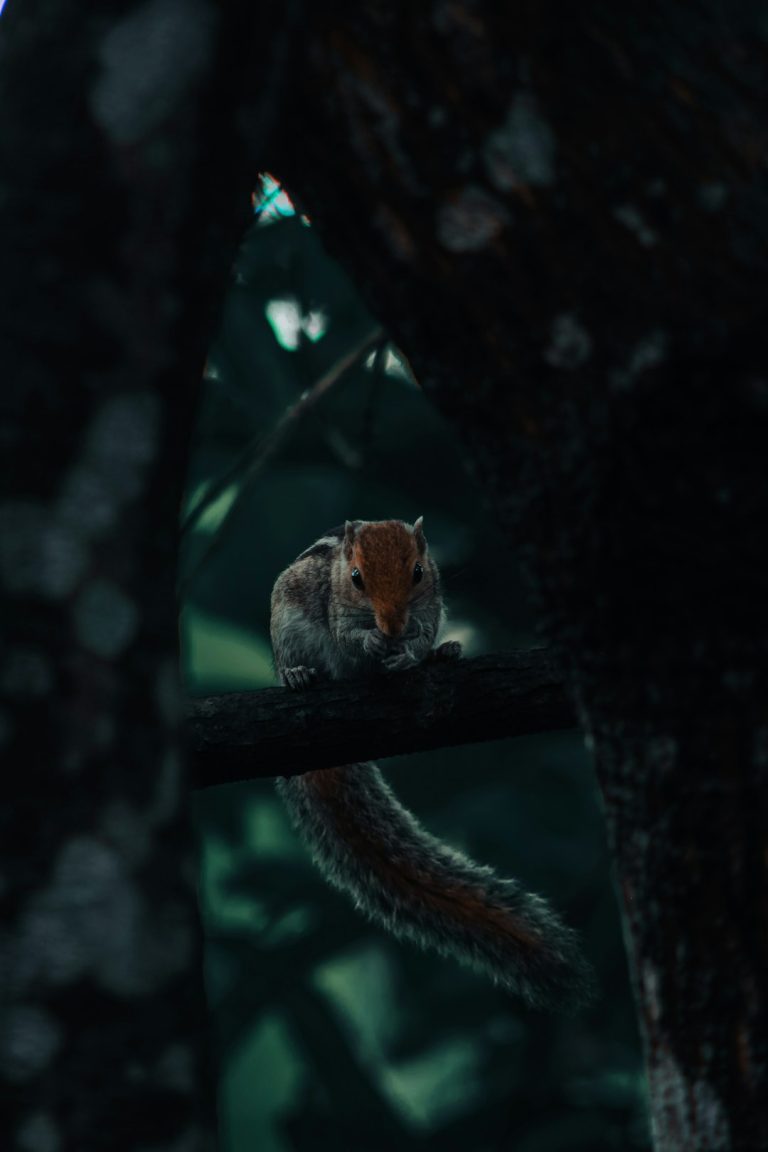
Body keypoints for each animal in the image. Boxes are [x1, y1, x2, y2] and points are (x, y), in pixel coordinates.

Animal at [270, 517, 592, 1008]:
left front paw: (415, 651)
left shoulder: (431, 606)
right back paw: (297, 675)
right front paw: (370, 639)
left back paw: (446, 652)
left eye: (418, 572)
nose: (390, 625)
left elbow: (421, 637)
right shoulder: (336, 609)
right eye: (356, 578)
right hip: (286, 623)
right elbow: (347, 636)